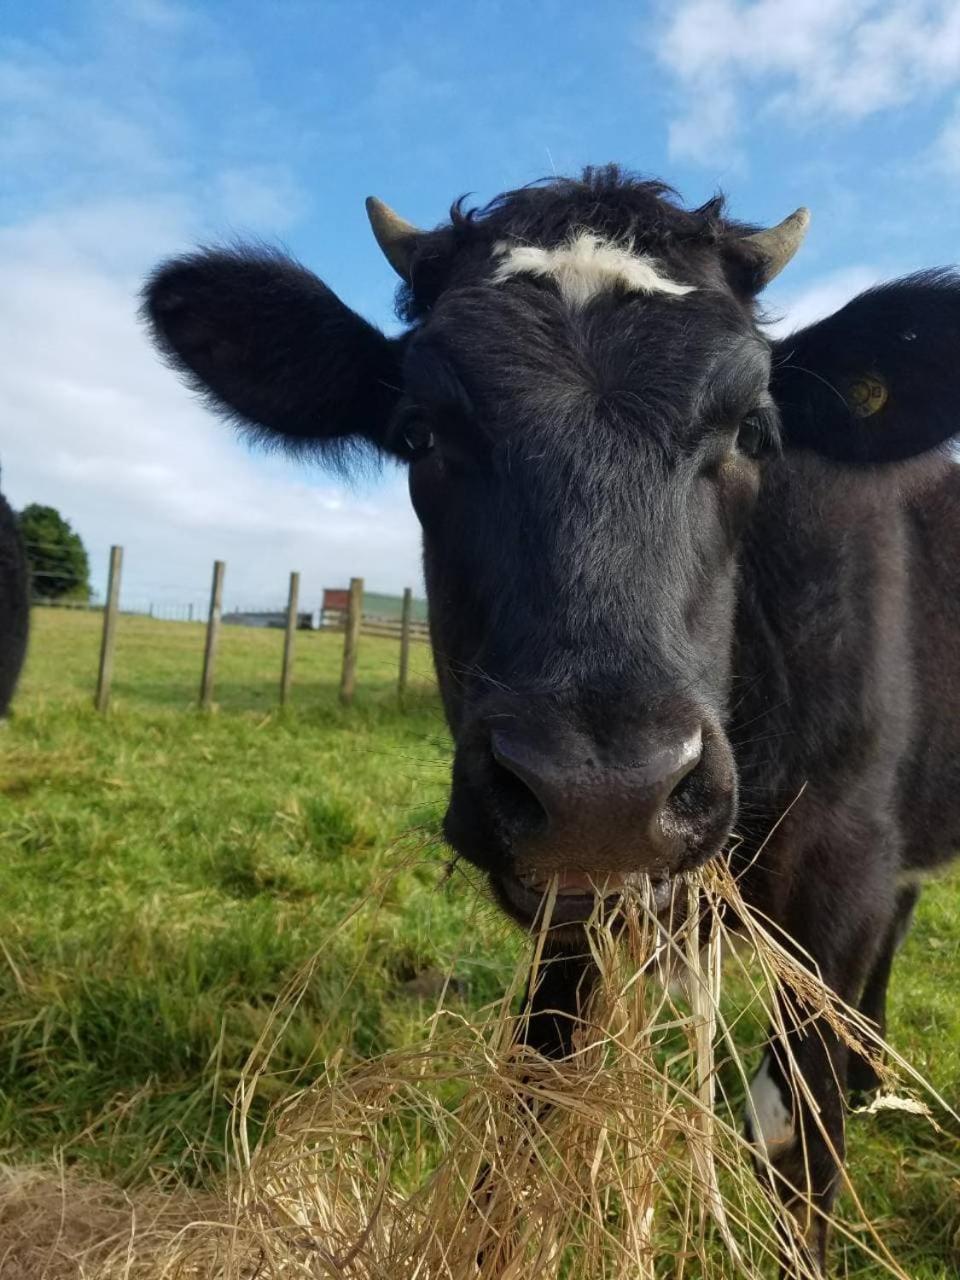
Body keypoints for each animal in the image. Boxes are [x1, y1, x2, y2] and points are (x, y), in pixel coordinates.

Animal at [142, 170, 960, 1269]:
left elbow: (794, 1142)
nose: (604, 791)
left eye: (754, 428)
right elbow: (529, 1095)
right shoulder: (569, 903)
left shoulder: (842, 864)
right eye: (421, 432)